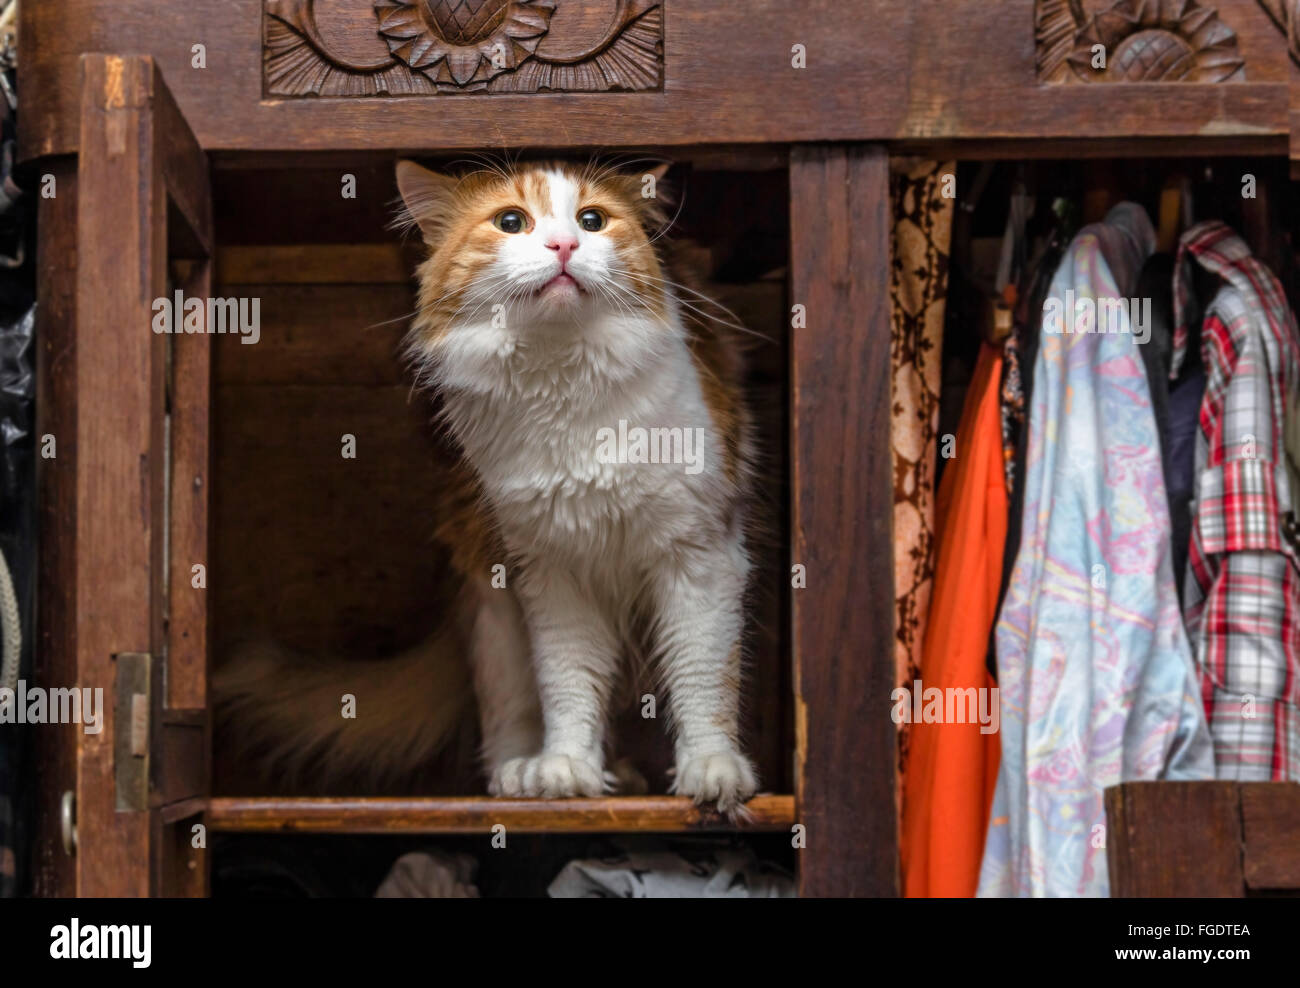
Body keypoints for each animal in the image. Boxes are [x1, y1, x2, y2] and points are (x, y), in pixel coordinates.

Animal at [217, 159, 759, 811]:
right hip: (492, 606)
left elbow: (703, 675)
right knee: (510, 715)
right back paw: (523, 777)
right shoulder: (553, 572)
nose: (564, 245)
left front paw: (713, 772)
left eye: (592, 220)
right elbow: (569, 682)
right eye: (510, 223)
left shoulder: (699, 553)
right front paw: (566, 769)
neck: (562, 380)